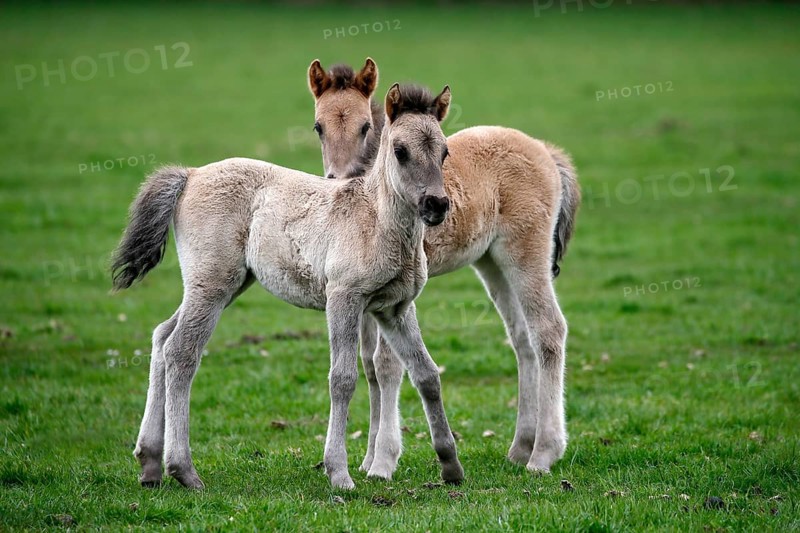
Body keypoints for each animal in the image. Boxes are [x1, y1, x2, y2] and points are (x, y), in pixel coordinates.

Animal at [111, 82, 464, 490]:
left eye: (444, 151)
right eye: (400, 151)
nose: (436, 205)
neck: (375, 220)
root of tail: (191, 174)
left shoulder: (395, 309)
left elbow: (426, 374)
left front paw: (451, 466)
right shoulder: (343, 300)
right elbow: (342, 379)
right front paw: (338, 473)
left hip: (225, 284)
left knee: (162, 336)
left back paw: (150, 463)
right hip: (212, 285)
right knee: (181, 352)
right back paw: (183, 469)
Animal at [307, 58, 580, 478]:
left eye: (366, 127)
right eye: (319, 126)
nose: (338, 180)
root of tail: (547, 152)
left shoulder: (397, 293)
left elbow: (387, 365)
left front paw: (383, 461)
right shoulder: (362, 292)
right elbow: (368, 365)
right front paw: (368, 458)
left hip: (525, 253)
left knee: (549, 330)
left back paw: (544, 453)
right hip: (491, 263)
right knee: (522, 339)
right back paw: (520, 446)